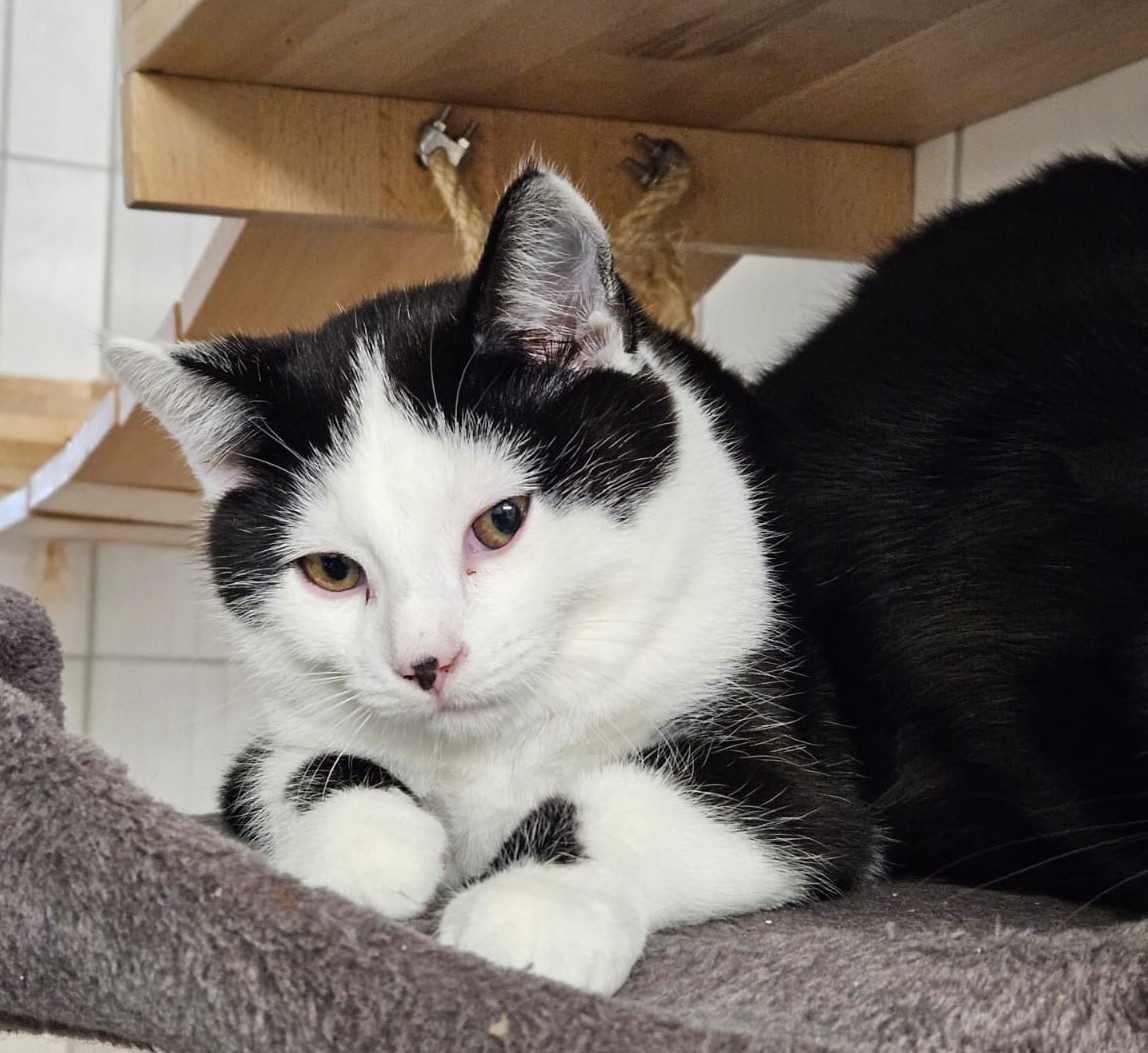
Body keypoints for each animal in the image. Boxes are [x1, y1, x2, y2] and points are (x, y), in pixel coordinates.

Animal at [103, 154, 1148, 996]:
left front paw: (532, 904)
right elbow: (292, 768)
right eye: (331, 570)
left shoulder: (805, 772)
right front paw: (370, 846)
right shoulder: (282, 725)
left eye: (502, 521)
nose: (427, 662)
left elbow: (647, 797)